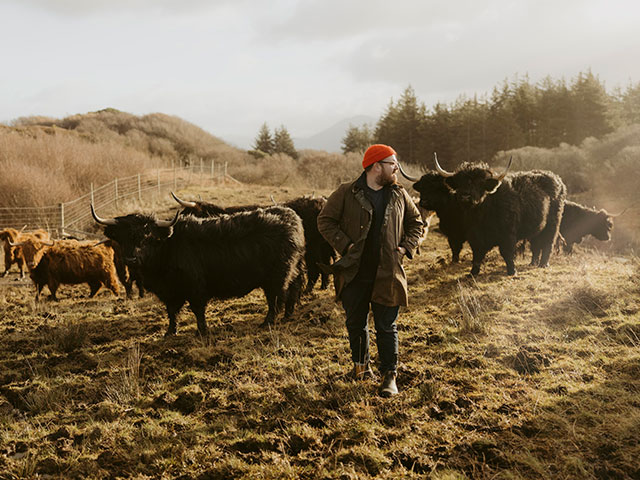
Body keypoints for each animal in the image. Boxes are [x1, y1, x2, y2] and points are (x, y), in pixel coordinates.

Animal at [92, 204, 308, 336]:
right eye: (123, 238)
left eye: (147, 236)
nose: (131, 258)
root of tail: (290, 215)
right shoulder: (170, 292)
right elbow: (172, 312)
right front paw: (170, 332)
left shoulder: (195, 287)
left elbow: (197, 310)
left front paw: (202, 331)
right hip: (293, 269)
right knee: (293, 289)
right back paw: (288, 316)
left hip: (277, 276)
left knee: (276, 299)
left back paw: (267, 323)